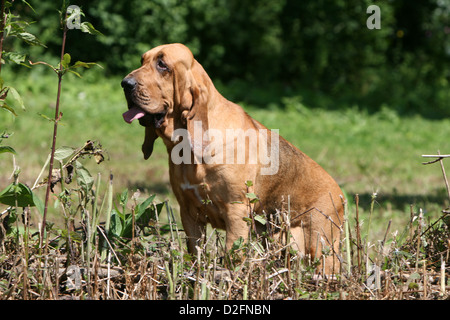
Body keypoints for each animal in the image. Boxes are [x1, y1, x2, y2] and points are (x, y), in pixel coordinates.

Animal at [121, 43, 342, 276]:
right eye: (142, 60)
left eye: (162, 64)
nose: (125, 84)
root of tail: (339, 194)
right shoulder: (189, 214)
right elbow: (194, 252)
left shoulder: (236, 212)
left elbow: (232, 255)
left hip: (320, 245)